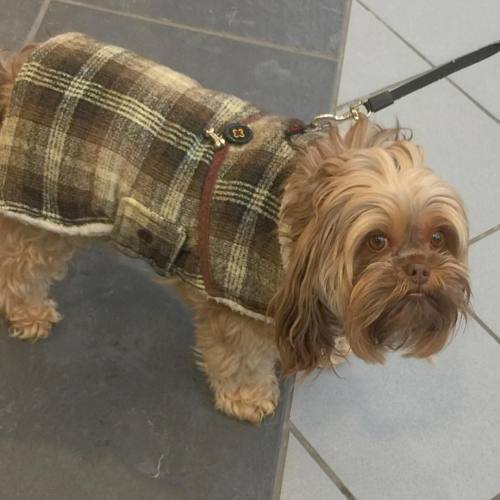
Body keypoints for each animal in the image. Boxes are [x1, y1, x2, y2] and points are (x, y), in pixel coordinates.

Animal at [0, 33, 470, 422]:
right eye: (376, 241)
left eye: (438, 237)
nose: (420, 269)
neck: (296, 217)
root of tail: (20, 65)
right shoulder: (238, 312)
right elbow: (241, 358)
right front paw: (248, 396)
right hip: (47, 216)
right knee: (18, 268)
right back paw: (29, 312)